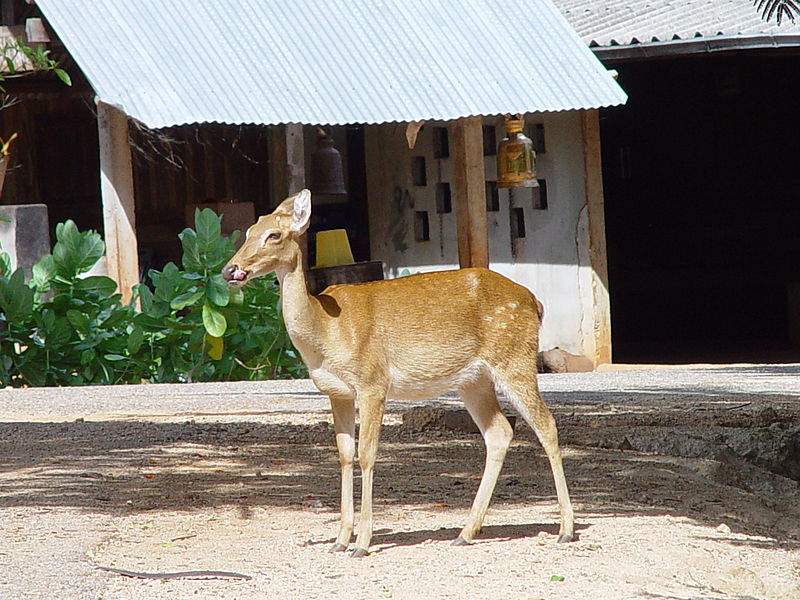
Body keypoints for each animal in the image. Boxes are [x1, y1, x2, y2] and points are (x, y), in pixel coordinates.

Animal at [222, 189, 576, 556]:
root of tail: (535, 303)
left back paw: (565, 529)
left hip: (514, 357)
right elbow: (345, 455)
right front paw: (339, 540)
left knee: (546, 424)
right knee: (500, 432)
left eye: (274, 235)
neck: (325, 331)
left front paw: (362, 543)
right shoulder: (337, 393)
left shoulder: (372, 381)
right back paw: (465, 532)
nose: (231, 269)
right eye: (248, 232)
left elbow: (366, 454)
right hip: (473, 379)